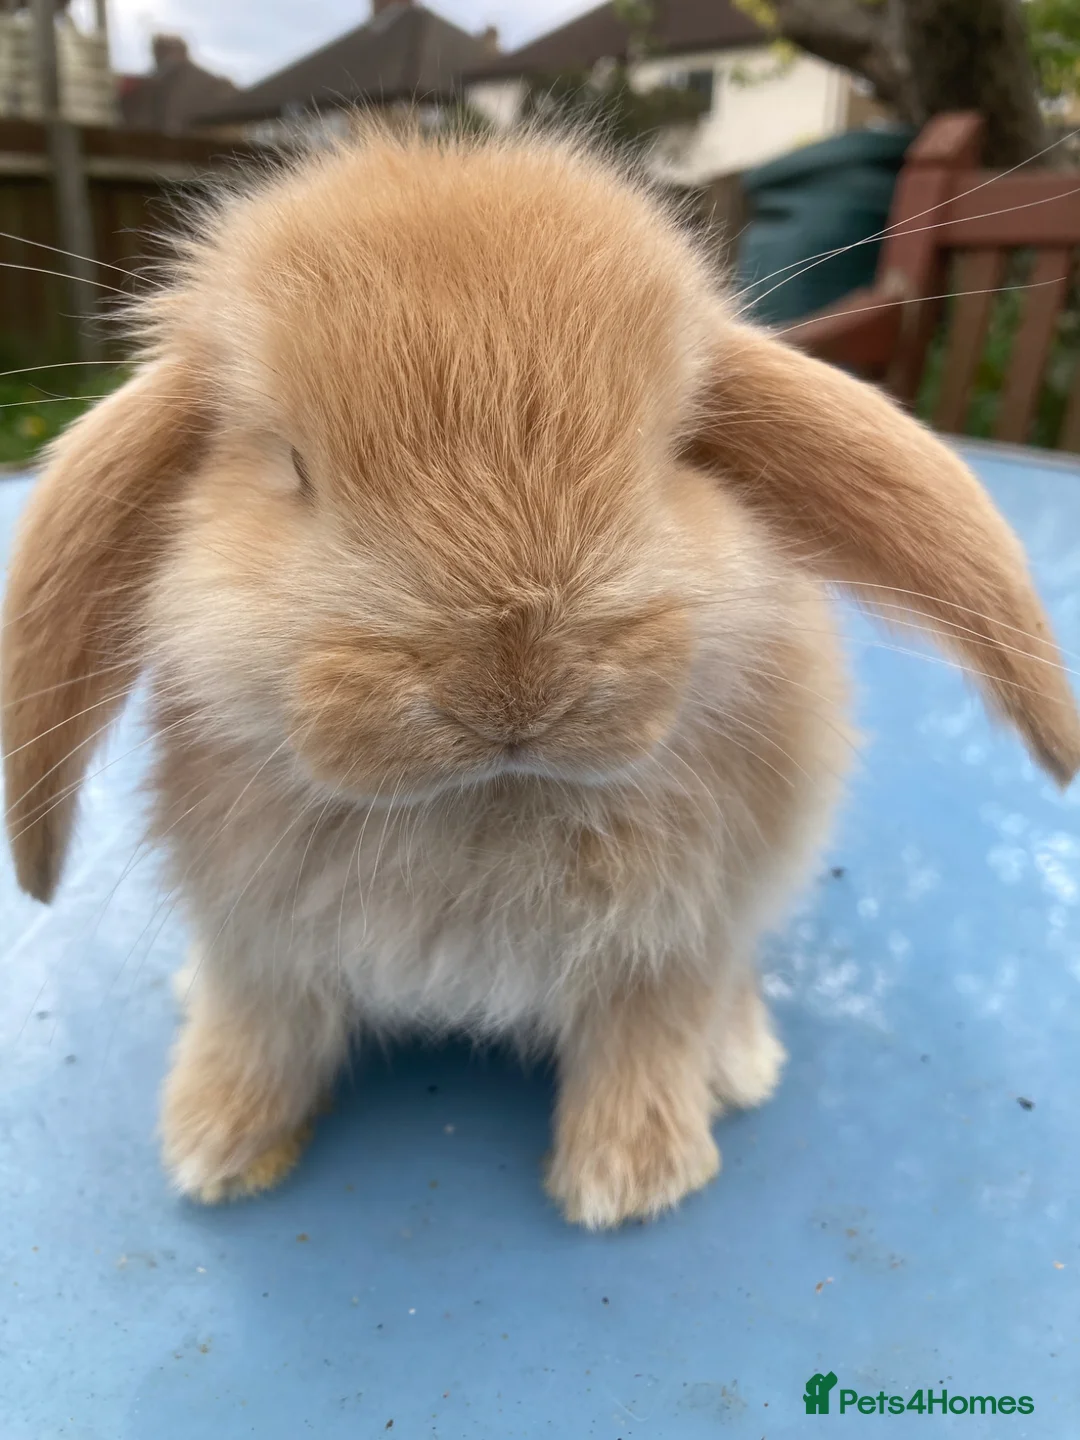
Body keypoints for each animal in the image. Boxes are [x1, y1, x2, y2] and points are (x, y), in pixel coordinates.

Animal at [4, 127, 1079, 1229]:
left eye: (675, 449)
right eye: (292, 466)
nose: (512, 682)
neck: (487, 802)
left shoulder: (677, 943)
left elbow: (647, 1037)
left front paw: (629, 1181)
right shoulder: (256, 944)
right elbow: (261, 1030)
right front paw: (215, 1145)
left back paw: (737, 1063)